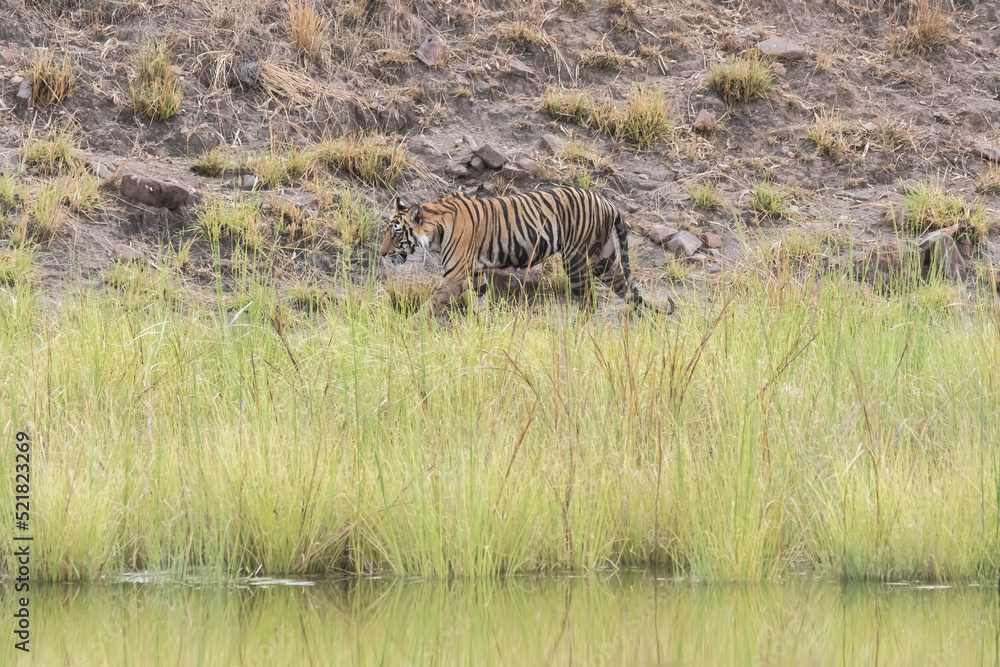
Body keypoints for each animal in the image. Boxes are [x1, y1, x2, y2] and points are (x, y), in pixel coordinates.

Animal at [379, 186, 673, 317]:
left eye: (396, 234)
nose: (381, 254)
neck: (436, 229)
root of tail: (608, 202)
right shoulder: (476, 274)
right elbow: (479, 305)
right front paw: (481, 330)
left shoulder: (455, 276)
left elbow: (430, 304)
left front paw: (409, 326)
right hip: (603, 258)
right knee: (626, 288)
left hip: (576, 258)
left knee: (588, 301)